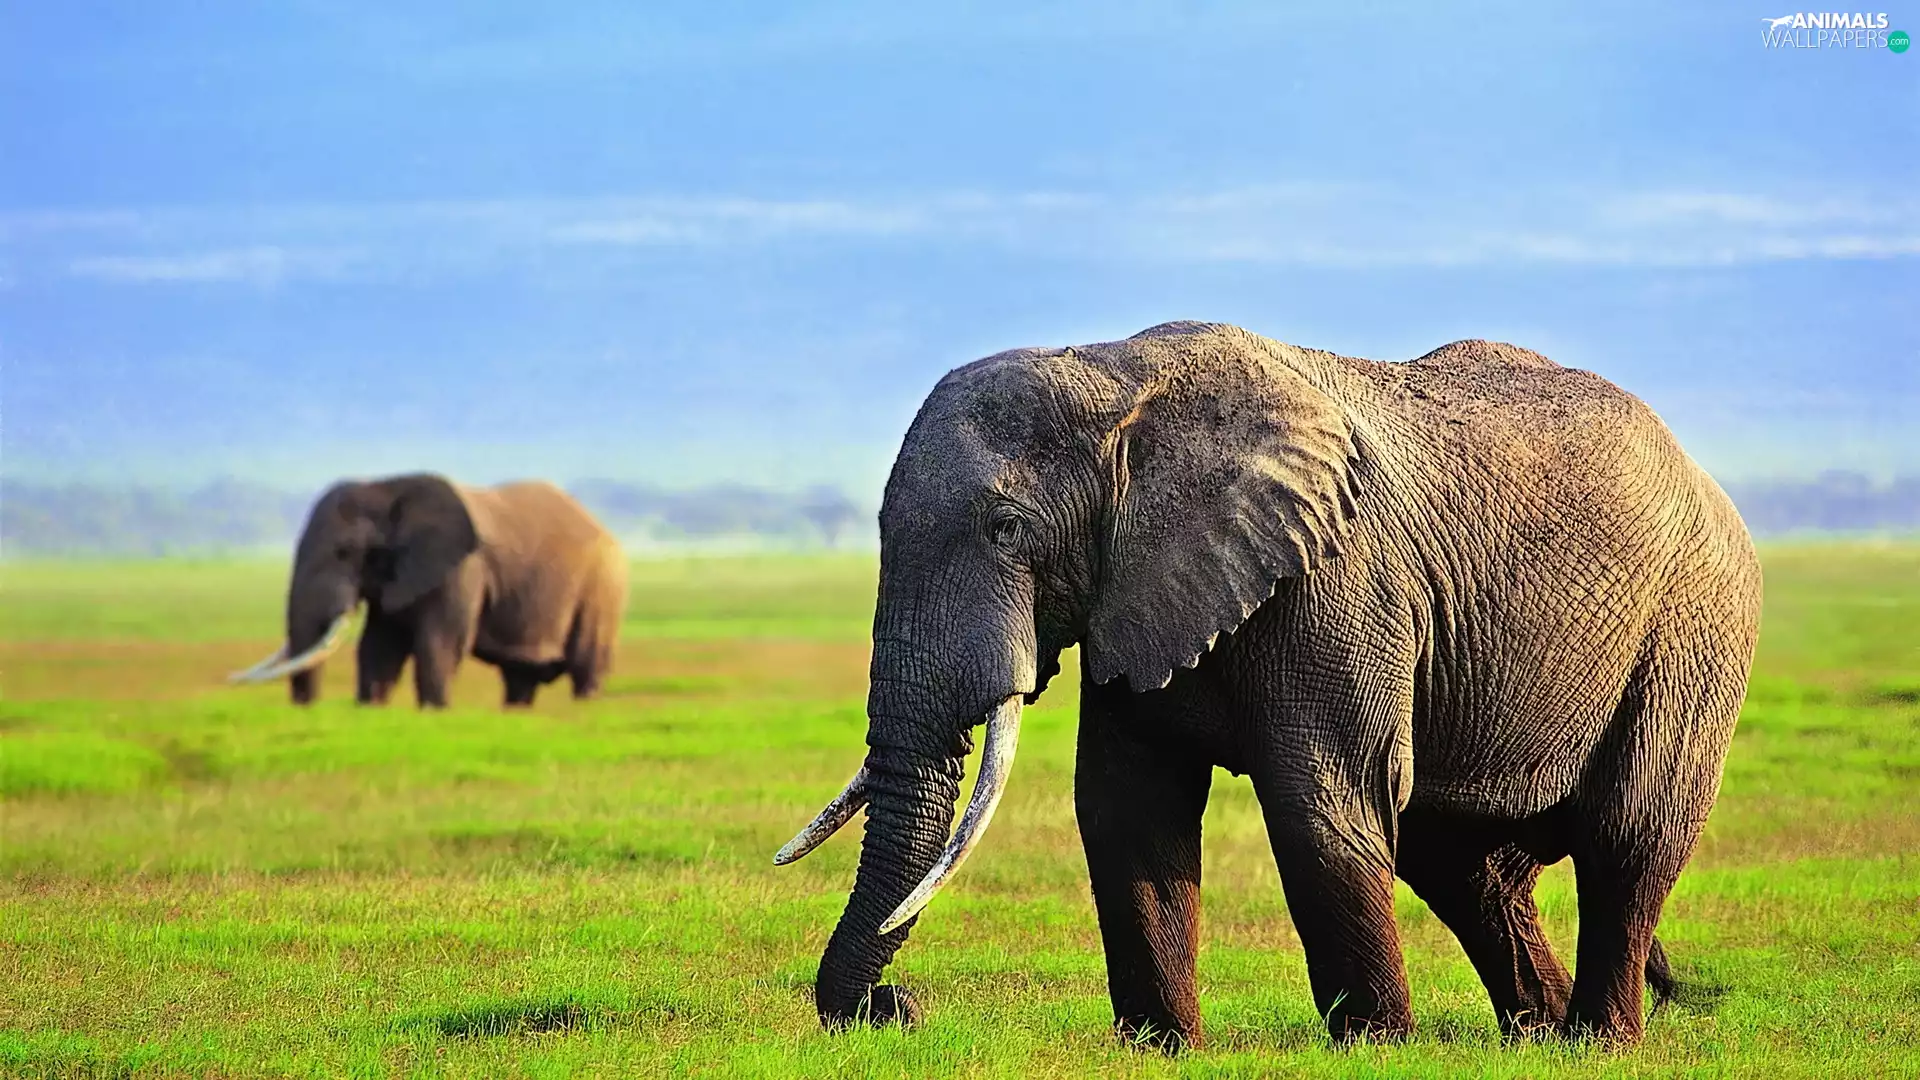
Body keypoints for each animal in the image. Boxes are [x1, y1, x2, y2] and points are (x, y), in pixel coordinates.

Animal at [228, 473, 628, 709]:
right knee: (520, 678)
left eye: (346, 552)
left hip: (602, 588)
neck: (387, 488)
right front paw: (371, 708)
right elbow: (379, 646)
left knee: (586, 665)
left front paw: (434, 712)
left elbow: (440, 642)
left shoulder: (462, 569)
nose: (308, 708)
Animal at [776, 322, 1761, 1050]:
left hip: (1694, 628)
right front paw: (1163, 1049)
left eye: (1007, 528)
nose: (896, 1008)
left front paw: (1376, 1049)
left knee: (1628, 838)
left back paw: (1598, 1041)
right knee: (1462, 865)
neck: (1113, 376)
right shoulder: (1140, 587)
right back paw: (1538, 1036)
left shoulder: (1340, 584)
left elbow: (1320, 805)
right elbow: (1127, 807)